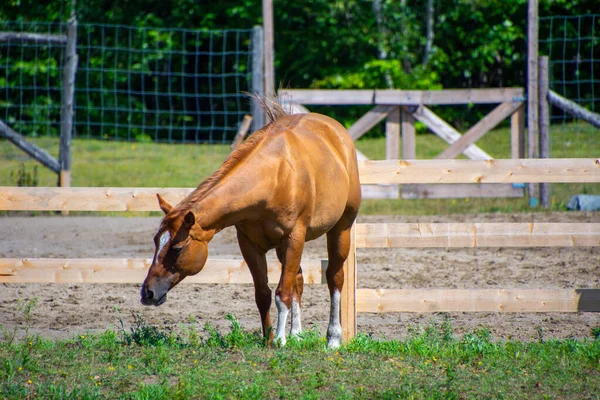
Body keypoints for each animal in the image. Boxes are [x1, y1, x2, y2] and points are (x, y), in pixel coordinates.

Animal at [141, 108, 360, 348]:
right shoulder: (249, 244)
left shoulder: (294, 238)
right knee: (299, 280)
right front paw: (269, 340)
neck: (274, 177)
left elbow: (282, 292)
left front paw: (280, 340)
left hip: (341, 228)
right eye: (155, 241)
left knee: (334, 278)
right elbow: (263, 294)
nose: (147, 293)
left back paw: (333, 339)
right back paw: (297, 335)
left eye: (177, 248)